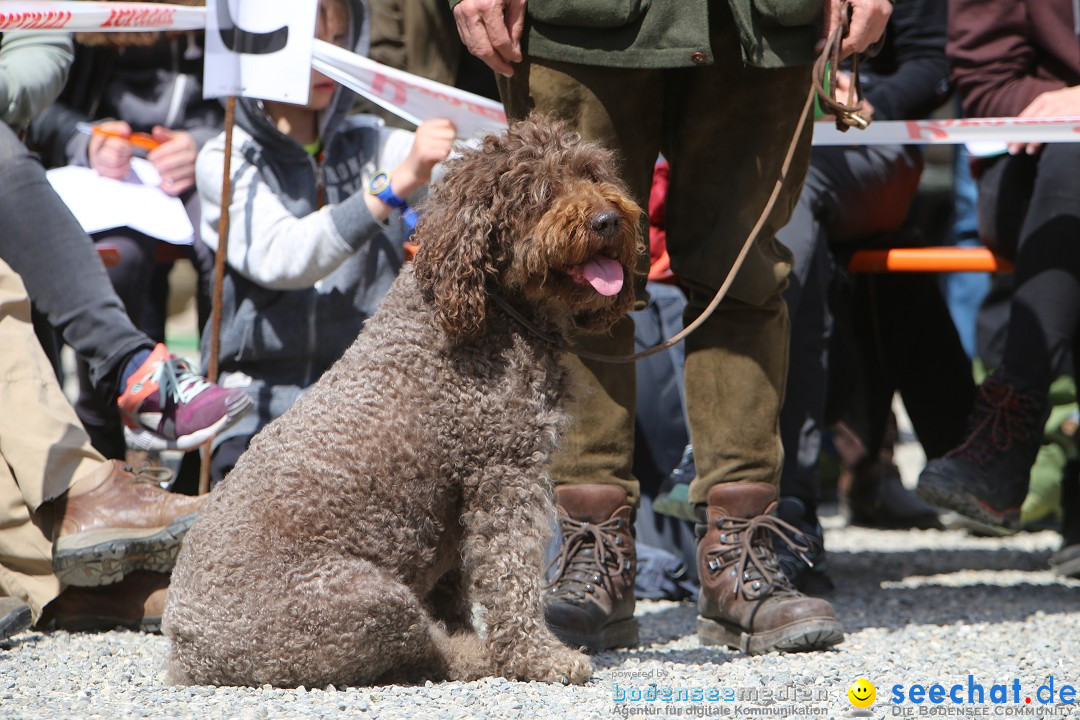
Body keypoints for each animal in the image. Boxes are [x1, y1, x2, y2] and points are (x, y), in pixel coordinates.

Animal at [162, 117, 639, 686]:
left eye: (592, 173)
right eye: (539, 190)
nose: (608, 220)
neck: (487, 309)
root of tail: (190, 655)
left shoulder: (461, 501)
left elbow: (459, 584)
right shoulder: (504, 474)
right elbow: (511, 578)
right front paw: (538, 657)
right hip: (365, 599)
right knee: (426, 651)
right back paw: (475, 655)